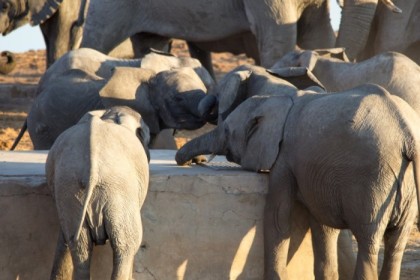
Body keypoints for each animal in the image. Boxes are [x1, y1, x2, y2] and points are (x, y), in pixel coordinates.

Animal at [45, 106, 150, 278]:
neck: (109, 114)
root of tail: (91, 170)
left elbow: (64, 239)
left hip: (70, 192)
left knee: (80, 247)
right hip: (119, 192)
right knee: (127, 246)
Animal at [176, 84, 420, 278]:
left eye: (226, 130)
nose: (195, 161)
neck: (278, 100)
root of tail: (407, 134)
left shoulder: (284, 157)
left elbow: (278, 218)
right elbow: (323, 226)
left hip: (372, 179)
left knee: (367, 241)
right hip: (402, 187)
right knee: (396, 245)